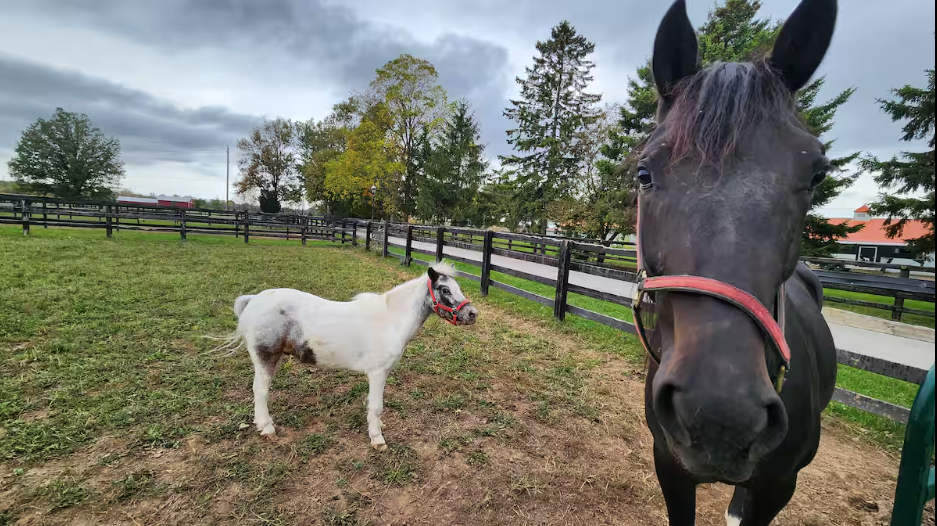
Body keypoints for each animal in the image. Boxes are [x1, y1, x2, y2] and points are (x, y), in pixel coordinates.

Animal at [217, 262, 478, 450]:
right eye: (445, 289)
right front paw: (377, 439)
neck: (390, 321)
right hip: (266, 357)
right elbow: (376, 406)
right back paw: (267, 429)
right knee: (260, 391)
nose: (472, 314)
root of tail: (254, 300)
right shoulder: (377, 373)